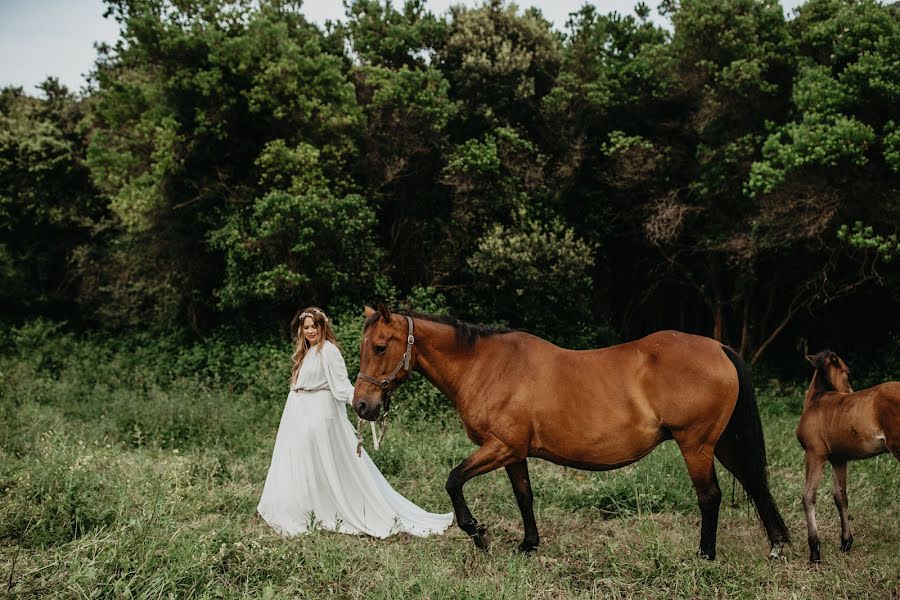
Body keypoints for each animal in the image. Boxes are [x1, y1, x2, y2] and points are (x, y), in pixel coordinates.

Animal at [352, 304, 788, 556]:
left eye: (380, 346)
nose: (362, 406)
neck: (487, 366)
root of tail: (719, 349)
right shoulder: (514, 452)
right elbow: (524, 496)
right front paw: (528, 545)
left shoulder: (499, 447)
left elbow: (453, 480)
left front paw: (478, 534)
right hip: (722, 443)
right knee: (755, 483)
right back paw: (778, 544)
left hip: (696, 445)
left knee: (710, 497)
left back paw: (706, 554)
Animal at [800, 352, 896, 564]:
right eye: (848, 372)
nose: (850, 392)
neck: (816, 401)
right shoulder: (838, 458)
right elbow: (840, 496)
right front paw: (846, 542)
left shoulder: (815, 454)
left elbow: (808, 495)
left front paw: (815, 552)